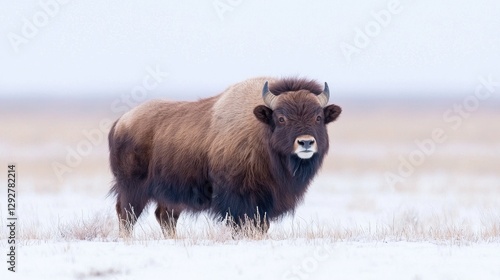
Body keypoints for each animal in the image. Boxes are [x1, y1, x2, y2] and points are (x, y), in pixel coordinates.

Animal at [109, 76, 342, 236]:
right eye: (282, 118)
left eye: (318, 117)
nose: (305, 142)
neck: (261, 132)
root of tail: (121, 121)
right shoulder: (239, 199)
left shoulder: (266, 202)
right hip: (132, 188)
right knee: (126, 214)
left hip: (170, 196)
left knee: (164, 217)